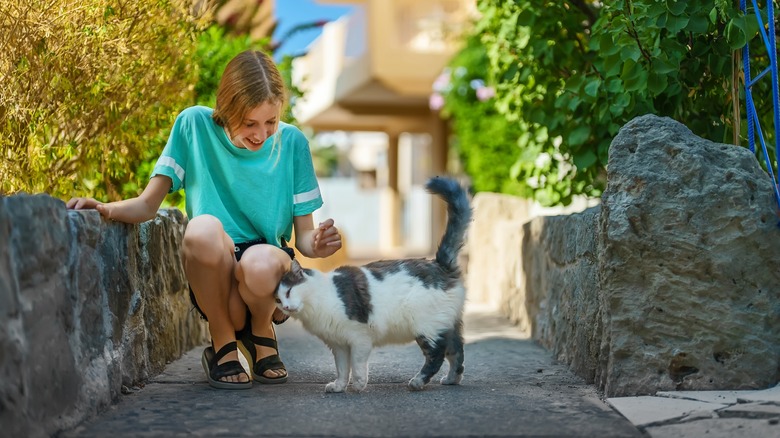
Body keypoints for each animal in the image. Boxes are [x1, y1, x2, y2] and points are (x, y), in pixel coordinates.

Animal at [274, 175, 470, 394]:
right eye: (278, 300)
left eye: (289, 292)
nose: (287, 307)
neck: (319, 301)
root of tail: (439, 264)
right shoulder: (338, 344)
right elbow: (342, 368)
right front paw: (339, 386)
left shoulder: (359, 338)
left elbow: (357, 365)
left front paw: (358, 385)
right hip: (447, 325)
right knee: (457, 352)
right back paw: (452, 378)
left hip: (427, 328)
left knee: (436, 356)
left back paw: (418, 381)